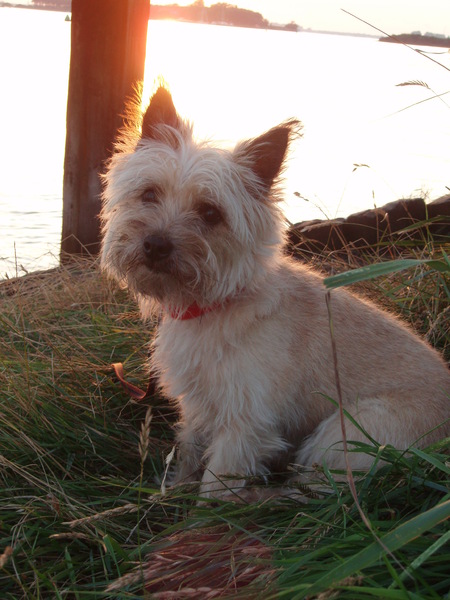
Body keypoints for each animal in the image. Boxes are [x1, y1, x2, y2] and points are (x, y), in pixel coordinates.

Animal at [100, 86, 448, 500]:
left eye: (211, 213)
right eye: (149, 194)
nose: (155, 245)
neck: (216, 303)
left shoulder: (244, 424)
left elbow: (214, 486)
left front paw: (200, 513)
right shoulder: (200, 407)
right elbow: (189, 450)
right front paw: (173, 490)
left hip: (348, 432)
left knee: (316, 490)